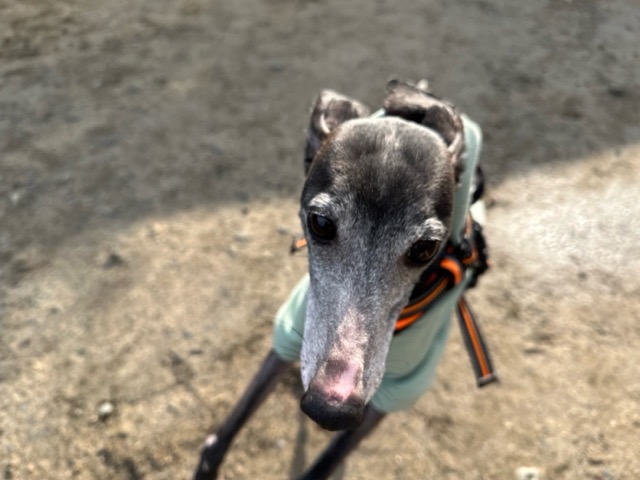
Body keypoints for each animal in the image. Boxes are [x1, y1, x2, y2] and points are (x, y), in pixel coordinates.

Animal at [193, 80, 495, 479]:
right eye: (320, 223)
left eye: (426, 248)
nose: (330, 409)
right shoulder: (290, 335)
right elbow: (220, 438)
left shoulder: (393, 391)